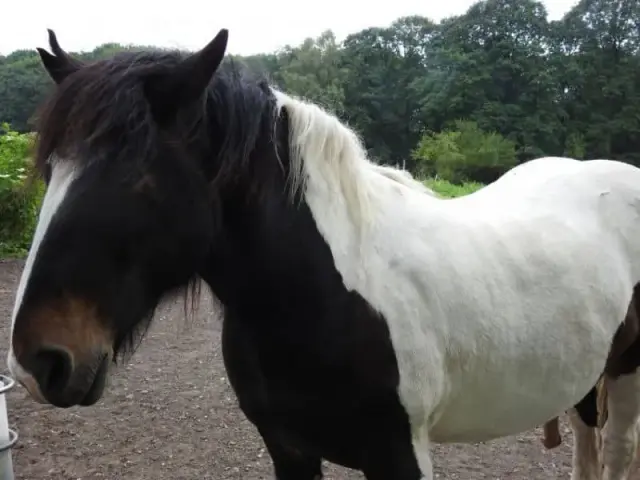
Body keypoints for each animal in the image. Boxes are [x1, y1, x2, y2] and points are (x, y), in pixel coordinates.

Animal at [8, 28, 640, 480]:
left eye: (139, 178)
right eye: (50, 169)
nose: (39, 361)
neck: (328, 291)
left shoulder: (399, 456)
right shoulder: (289, 450)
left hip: (626, 372)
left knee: (615, 453)